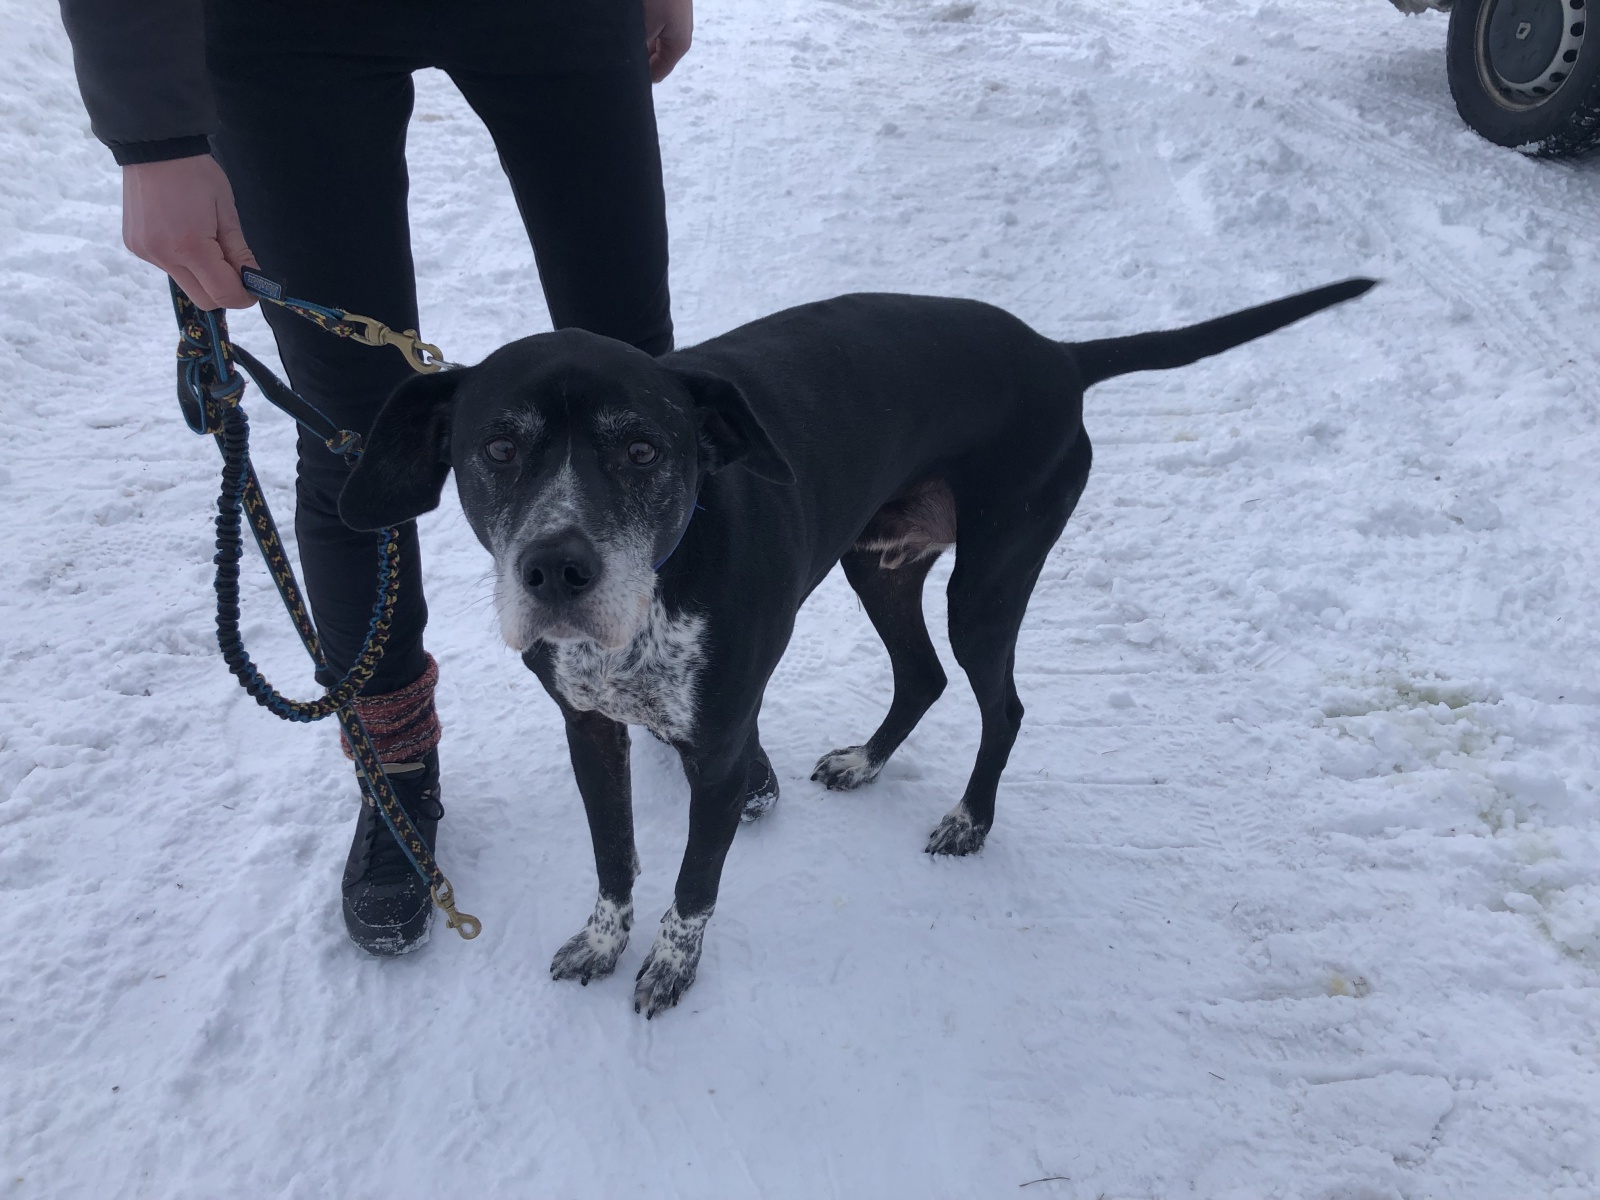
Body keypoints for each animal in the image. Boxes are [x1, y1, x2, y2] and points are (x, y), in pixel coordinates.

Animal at [339, 278, 1374, 1015]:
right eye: (497, 449)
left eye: (641, 450)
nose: (556, 569)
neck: (664, 581)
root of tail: (1054, 354)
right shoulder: (589, 729)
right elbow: (614, 858)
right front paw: (601, 940)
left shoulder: (720, 752)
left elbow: (694, 880)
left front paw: (670, 968)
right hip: (879, 565)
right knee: (921, 676)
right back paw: (867, 763)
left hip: (988, 582)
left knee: (1002, 702)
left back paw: (969, 819)